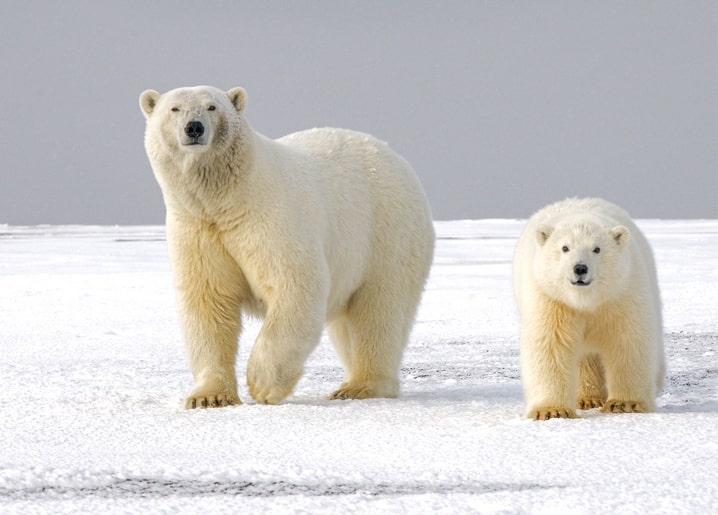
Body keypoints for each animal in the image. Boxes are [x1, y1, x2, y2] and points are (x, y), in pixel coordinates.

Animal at [139, 84, 436, 410]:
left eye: (212, 107)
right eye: (174, 109)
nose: (194, 127)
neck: (226, 199)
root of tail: (396, 158)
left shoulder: (269, 217)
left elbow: (295, 284)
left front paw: (262, 384)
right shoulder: (197, 229)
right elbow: (208, 302)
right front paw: (209, 396)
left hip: (386, 233)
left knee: (379, 311)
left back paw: (361, 386)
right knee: (348, 324)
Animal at [516, 198, 668, 420]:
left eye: (597, 249)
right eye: (565, 247)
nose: (580, 268)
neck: (586, 301)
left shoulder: (621, 294)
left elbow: (628, 341)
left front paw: (625, 404)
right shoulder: (551, 300)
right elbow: (551, 345)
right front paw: (553, 410)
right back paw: (588, 399)